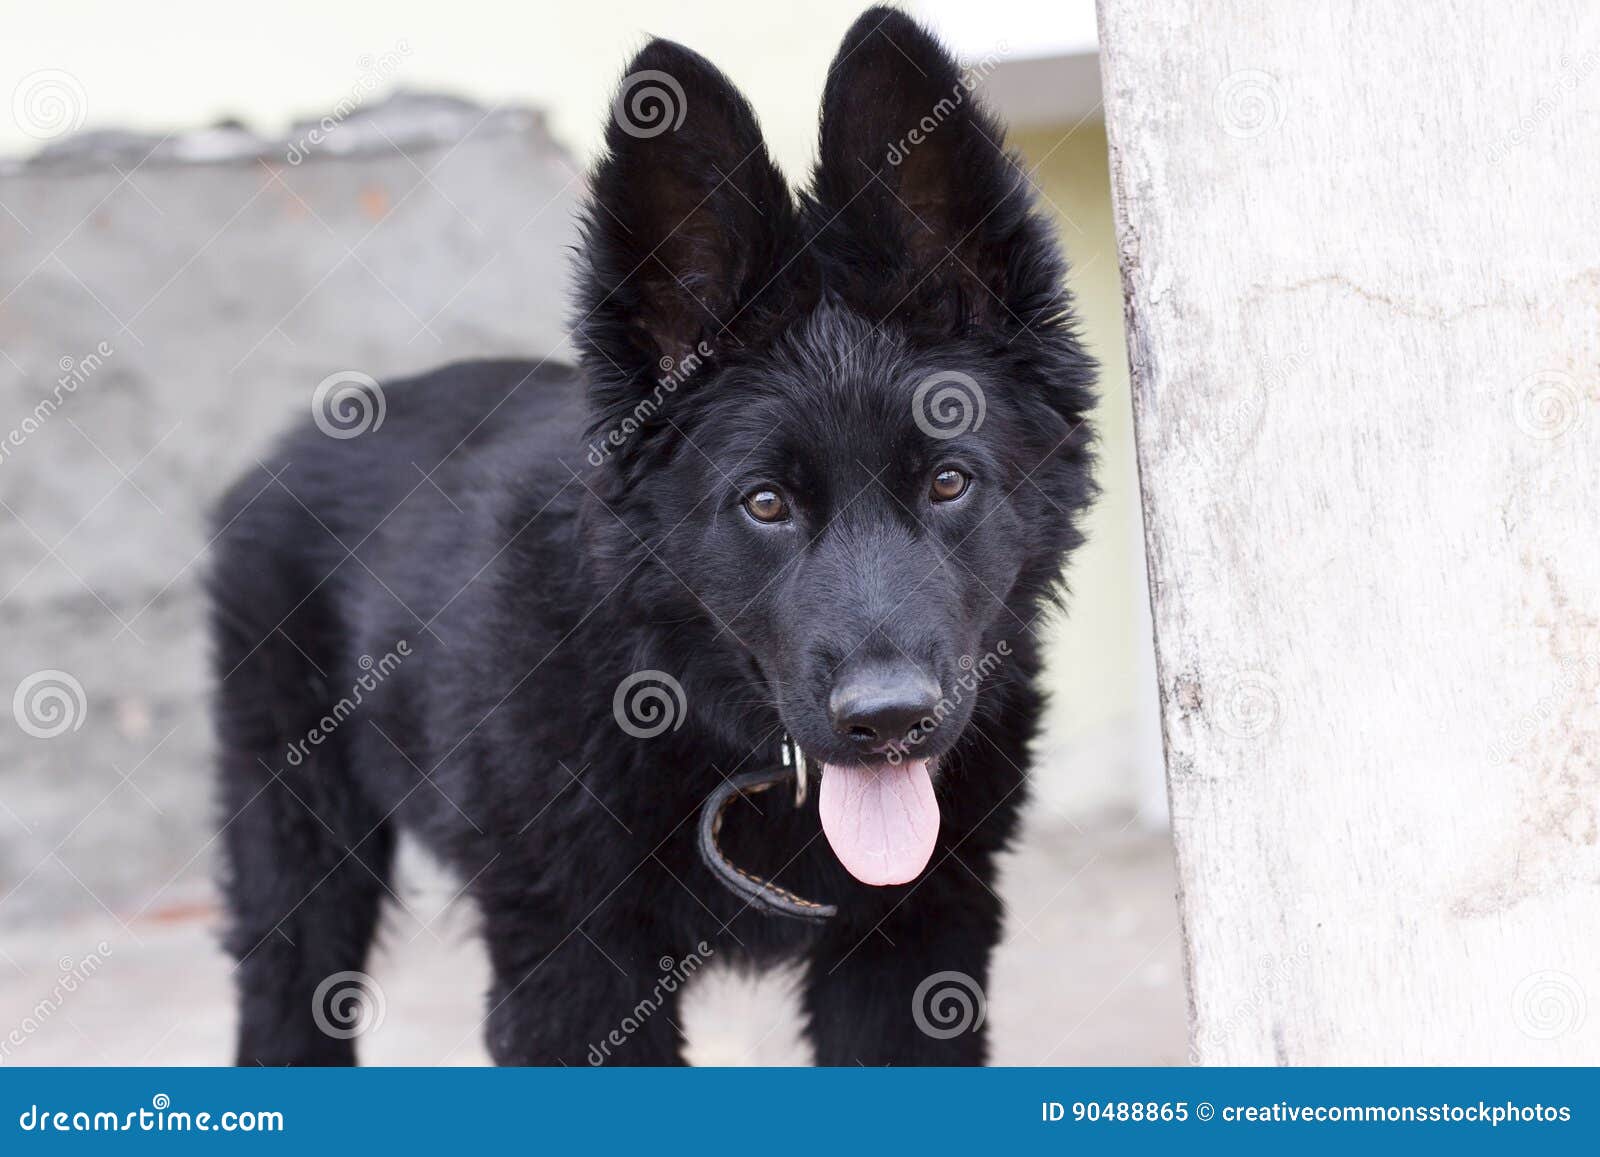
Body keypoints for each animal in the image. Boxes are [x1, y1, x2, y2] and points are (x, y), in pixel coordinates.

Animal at [209, 6, 1088, 1068]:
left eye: (948, 482)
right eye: (765, 504)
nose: (888, 722)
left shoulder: (921, 947)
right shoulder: (574, 971)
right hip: (298, 851)